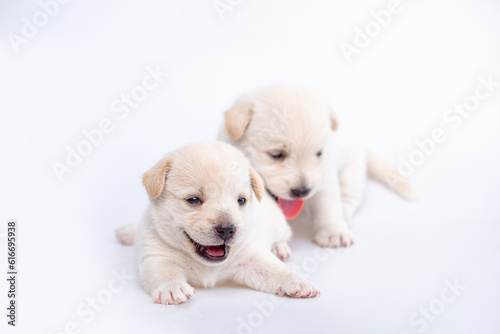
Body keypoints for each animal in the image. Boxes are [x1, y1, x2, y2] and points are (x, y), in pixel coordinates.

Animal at [115, 142, 318, 304]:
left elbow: (275, 270)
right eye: (194, 200)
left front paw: (297, 281)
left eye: (241, 200)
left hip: (279, 225)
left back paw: (280, 249)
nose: (227, 230)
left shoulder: (251, 258)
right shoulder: (156, 256)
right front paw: (172, 288)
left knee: (283, 237)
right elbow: (165, 272)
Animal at [220, 85, 414, 248]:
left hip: (352, 170)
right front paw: (277, 246)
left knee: (349, 196)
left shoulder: (324, 177)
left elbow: (327, 205)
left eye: (319, 153)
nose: (303, 191)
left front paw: (333, 234)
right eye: (276, 155)